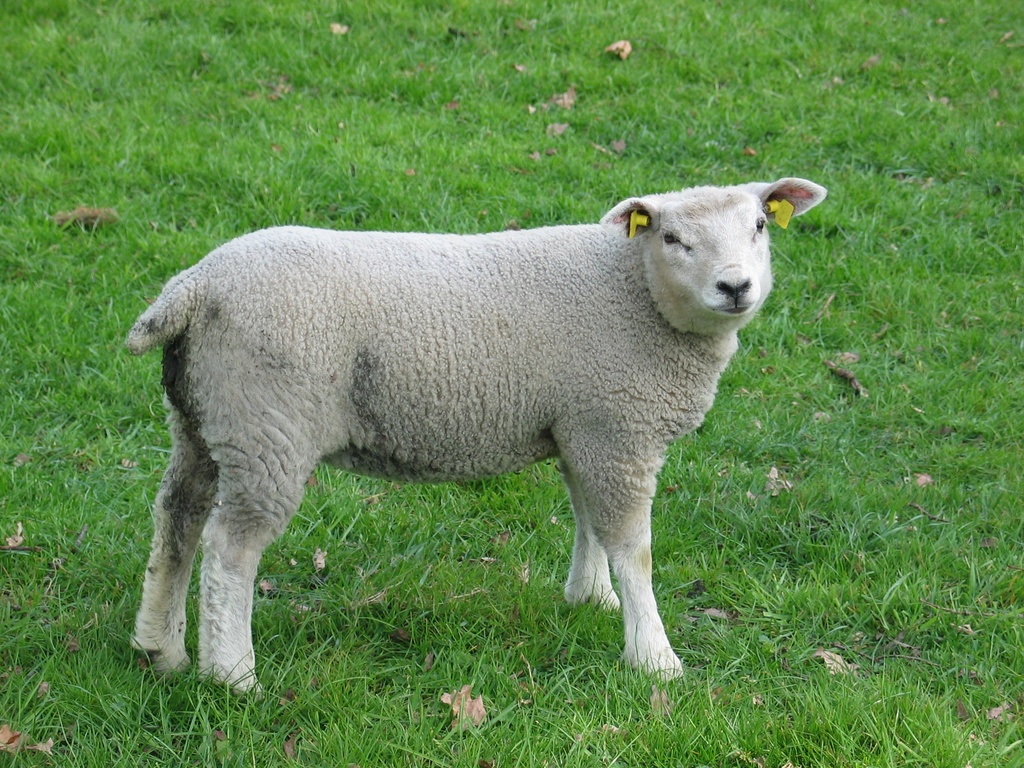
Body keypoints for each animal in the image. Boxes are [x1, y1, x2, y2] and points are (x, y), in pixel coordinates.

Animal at [127, 177, 827, 693]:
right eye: (674, 237)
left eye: (760, 226)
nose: (735, 286)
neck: (635, 290)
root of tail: (194, 286)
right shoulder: (618, 430)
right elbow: (636, 549)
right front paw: (654, 659)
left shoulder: (584, 425)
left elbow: (587, 519)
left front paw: (590, 599)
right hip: (268, 424)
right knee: (230, 549)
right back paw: (232, 676)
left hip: (204, 416)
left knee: (177, 519)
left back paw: (161, 650)